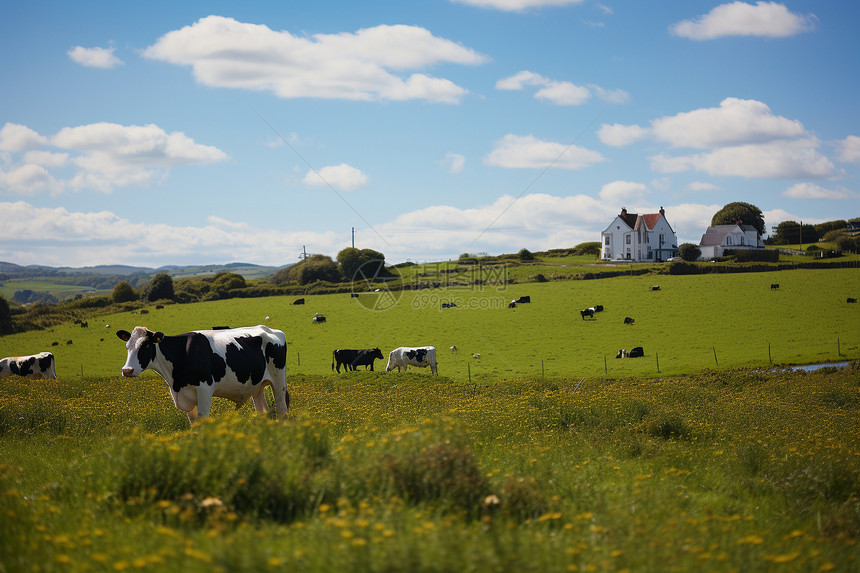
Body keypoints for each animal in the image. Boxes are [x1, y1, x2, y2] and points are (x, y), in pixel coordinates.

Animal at [114, 324, 290, 422]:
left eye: (145, 346)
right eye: (127, 346)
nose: (127, 370)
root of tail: (270, 329)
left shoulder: (205, 389)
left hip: (279, 381)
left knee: (282, 410)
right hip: (256, 386)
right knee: (264, 412)